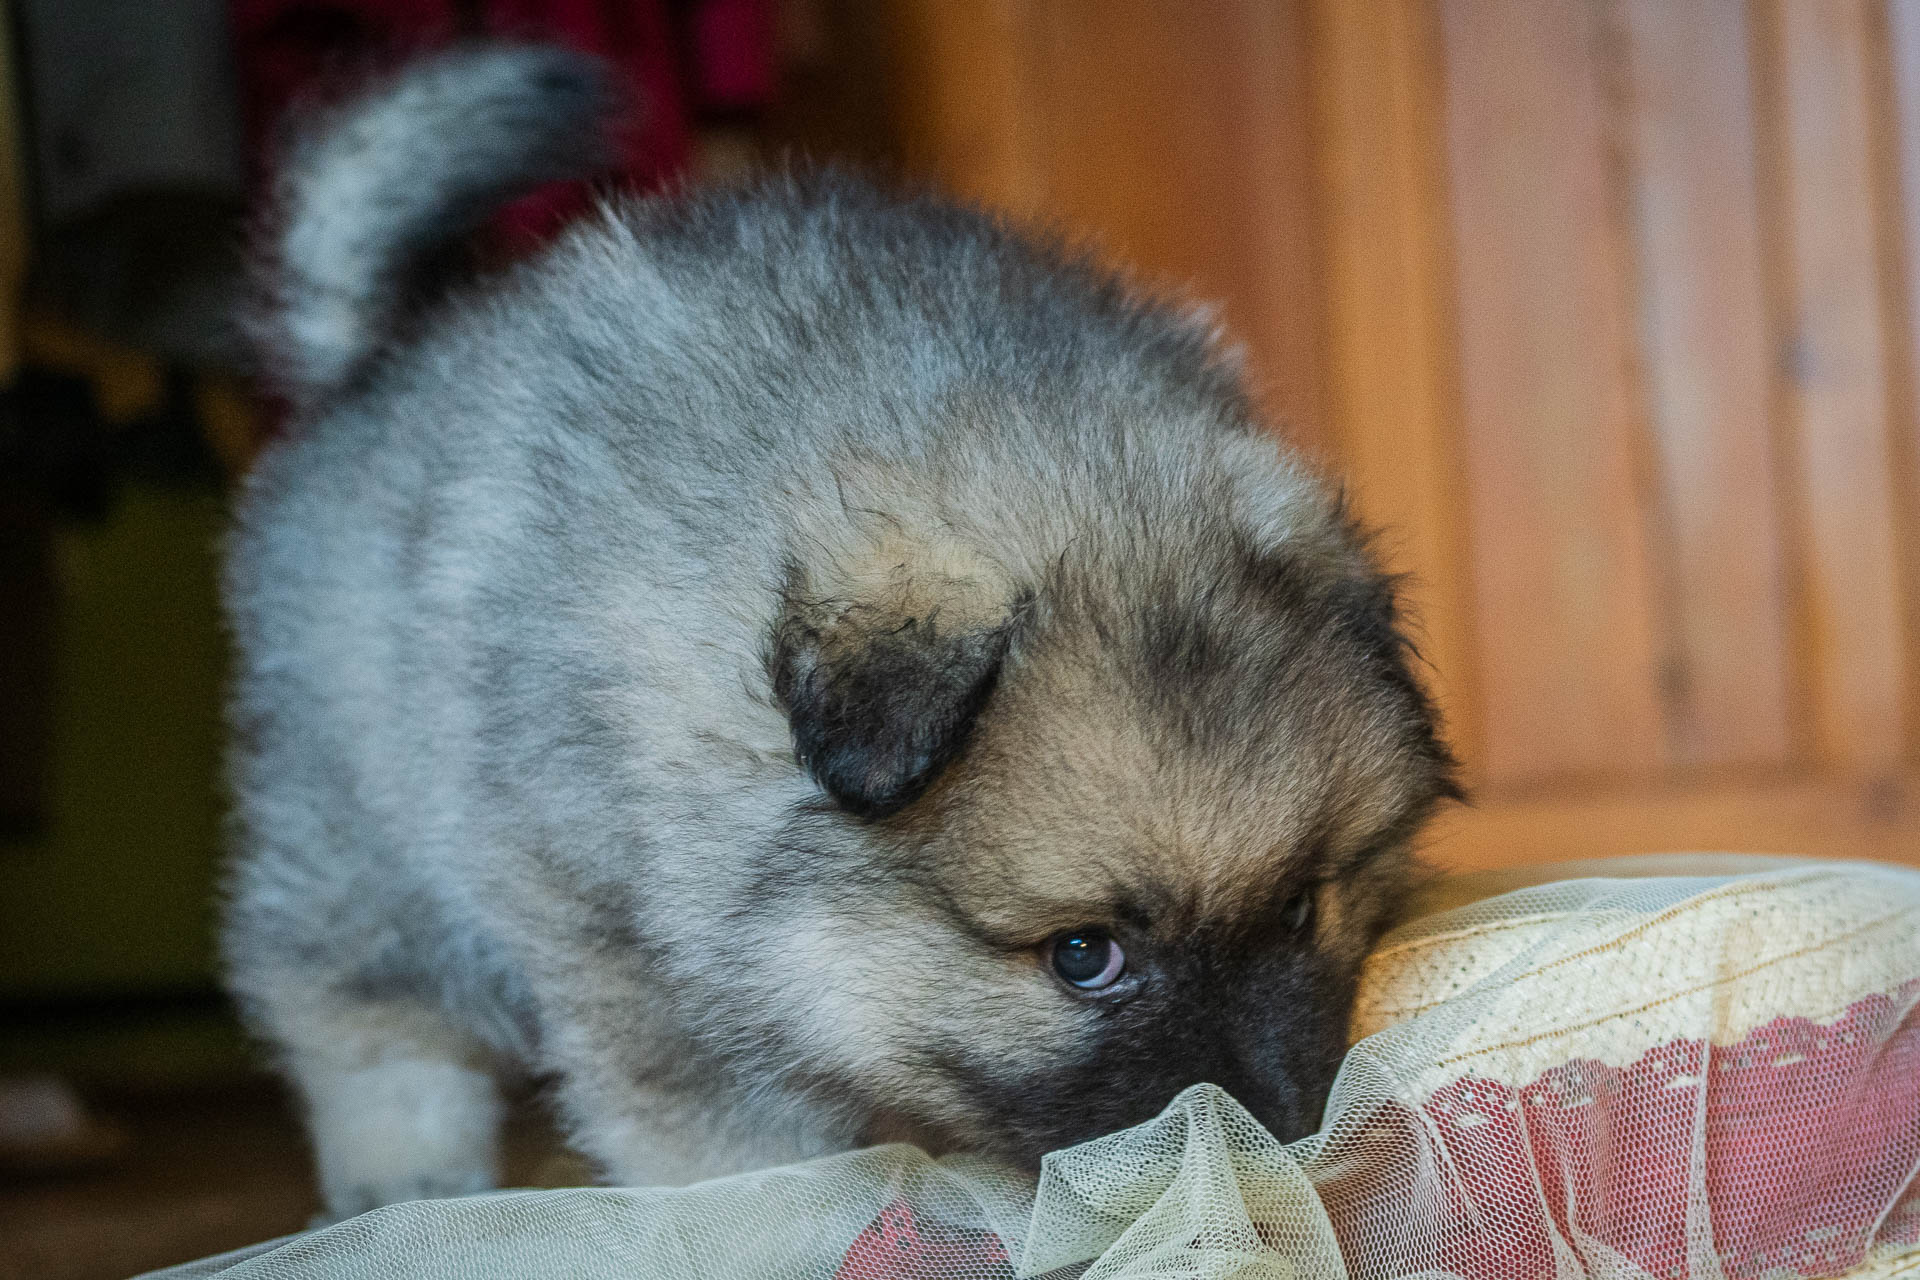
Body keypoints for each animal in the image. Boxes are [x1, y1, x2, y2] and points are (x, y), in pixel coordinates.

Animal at [220, 45, 1451, 1220]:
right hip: (364, 828)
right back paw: (404, 1169)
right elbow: (723, 1146)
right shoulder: (628, 950)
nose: (1279, 1138)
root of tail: (374, 362)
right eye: (1082, 955)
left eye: (1299, 905)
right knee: (348, 996)